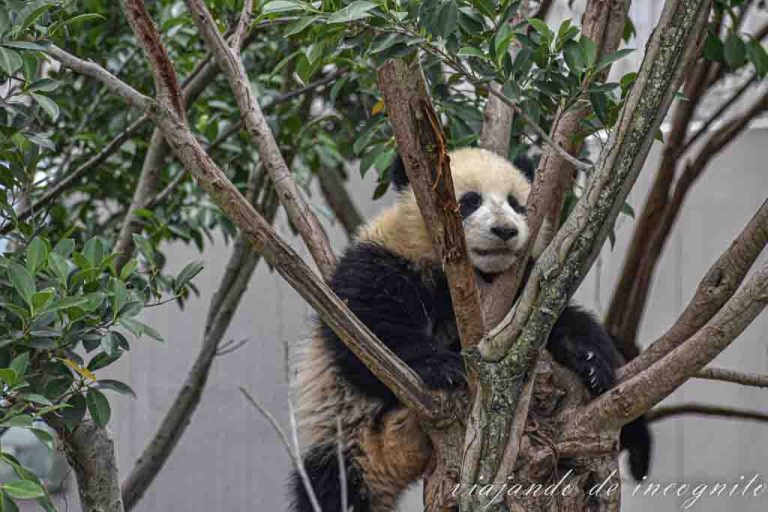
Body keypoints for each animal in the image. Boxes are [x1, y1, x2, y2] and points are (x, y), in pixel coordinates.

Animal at [290, 147, 650, 512]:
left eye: (516, 203)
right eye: (469, 201)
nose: (504, 230)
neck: (473, 277)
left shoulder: (524, 293)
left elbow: (560, 323)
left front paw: (593, 363)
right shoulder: (381, 262)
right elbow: (368, 336)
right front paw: (444, 366)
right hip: (343, 431)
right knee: (329, 488)